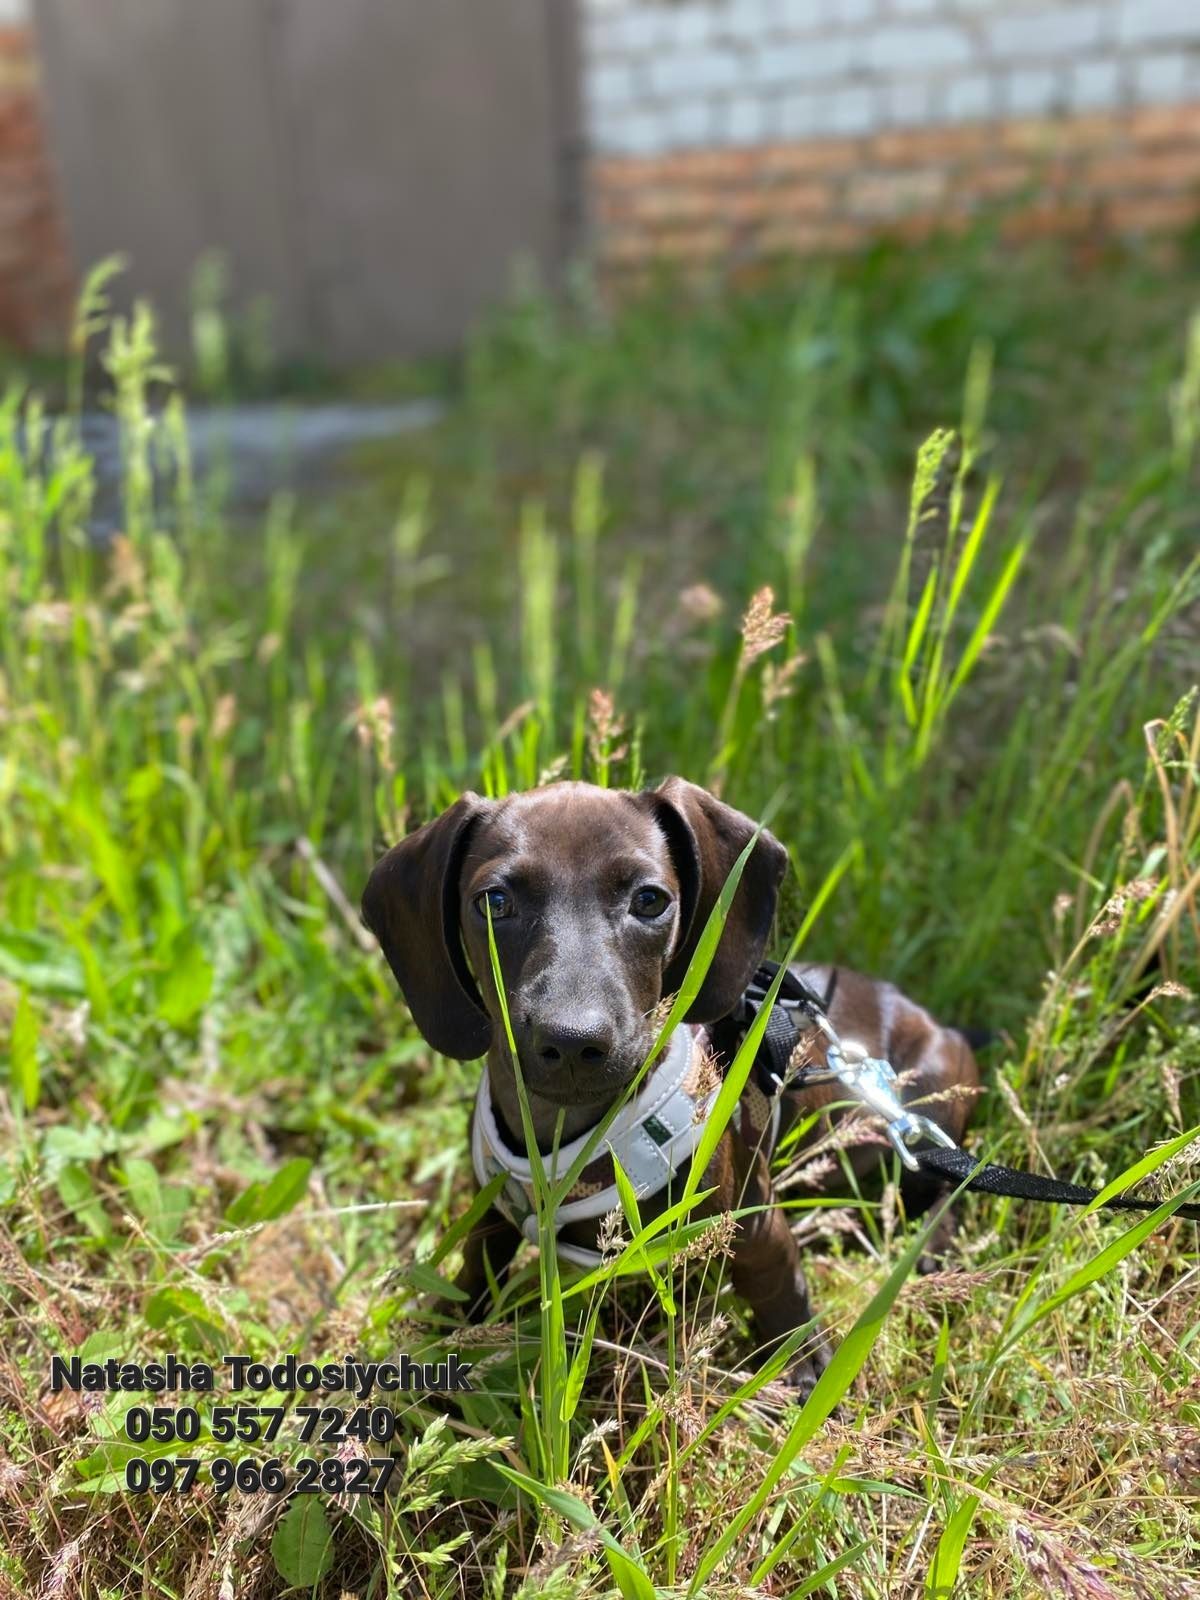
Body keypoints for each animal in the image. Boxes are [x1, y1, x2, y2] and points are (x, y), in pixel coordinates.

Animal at [361, 780, 979, 1395]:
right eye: (494, 902)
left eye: (650, 900)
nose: (572, 1041)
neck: (571, 1138)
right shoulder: (491, 1213)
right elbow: (474, 1271)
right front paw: (438, 1346)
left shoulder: (755, 1228)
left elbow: (782, 1297)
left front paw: (804, 1369)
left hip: (924, 1105)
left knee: (948, 1180)